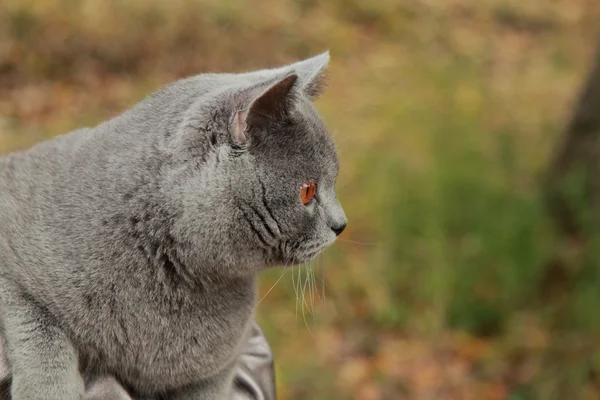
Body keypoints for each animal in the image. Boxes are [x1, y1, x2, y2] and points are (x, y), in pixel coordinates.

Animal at [0, 52, 346, 396]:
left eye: (332, 181)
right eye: (307, 191)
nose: (341, 224)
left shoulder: (217, 369)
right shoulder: (11, 268)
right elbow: (39, 331)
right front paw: (48, 391)